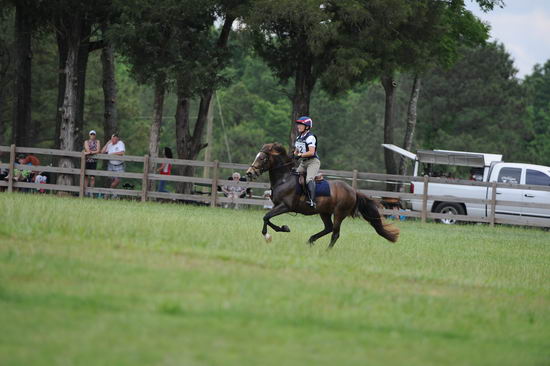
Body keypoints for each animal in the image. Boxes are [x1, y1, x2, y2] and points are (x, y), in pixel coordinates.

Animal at [247, 143, 402, 249]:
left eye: (262, 158)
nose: (249, 173)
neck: (284, 179)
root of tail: (353, 191)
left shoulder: (285, 206)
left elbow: (266, 217)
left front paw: (269, 236)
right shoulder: (277, 205)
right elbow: (267, 218)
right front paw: (283, 228)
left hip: (339, 213)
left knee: (335, 233)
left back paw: (327, 250)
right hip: (324, 212)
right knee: (328, 228)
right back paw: (311, 240)